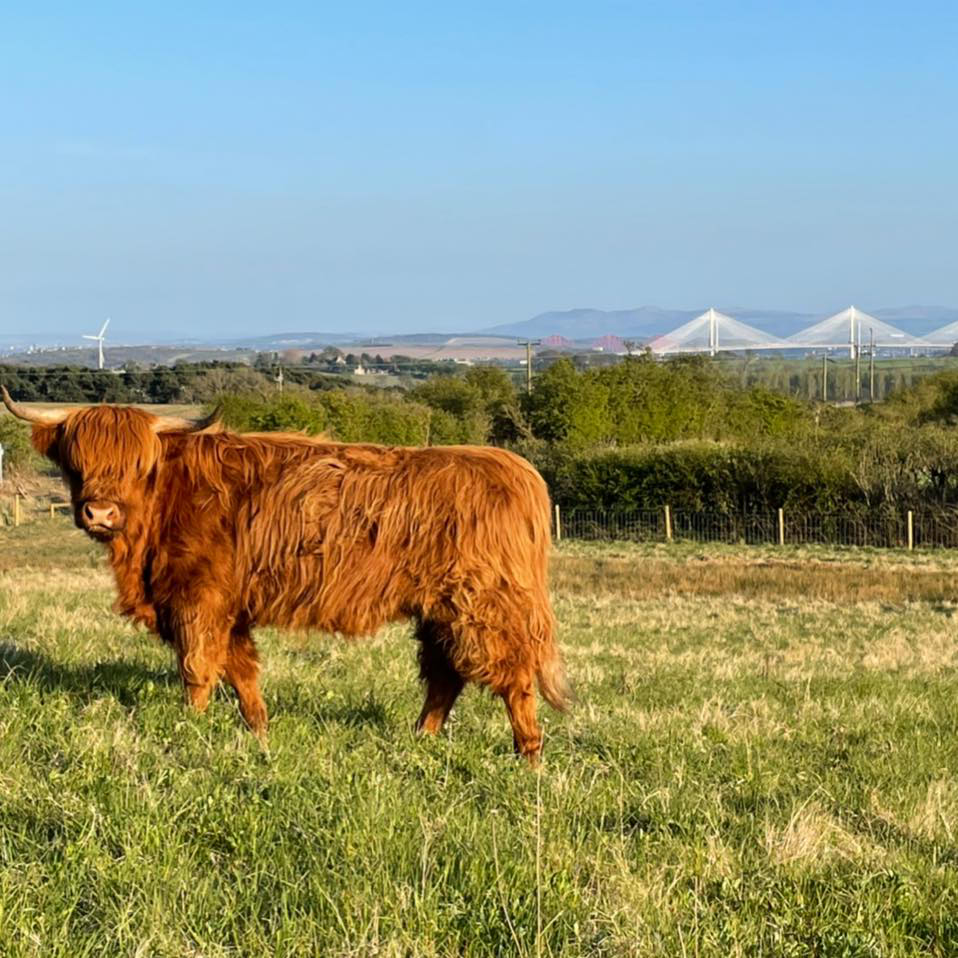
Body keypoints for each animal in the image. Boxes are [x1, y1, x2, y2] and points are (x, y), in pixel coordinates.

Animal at [2, 388, 567, 763]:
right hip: (439, 611)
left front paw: (189, 729)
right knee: (445, 676)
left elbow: (196, 668)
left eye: (138, 465)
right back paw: (419, 739)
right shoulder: (228, 607)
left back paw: (530, 756)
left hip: (484, 605)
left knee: (513, 676)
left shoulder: (198, 598)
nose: (99, 513)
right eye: (75, 461)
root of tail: (516, 470)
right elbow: (242, 673)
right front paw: (259, 733)